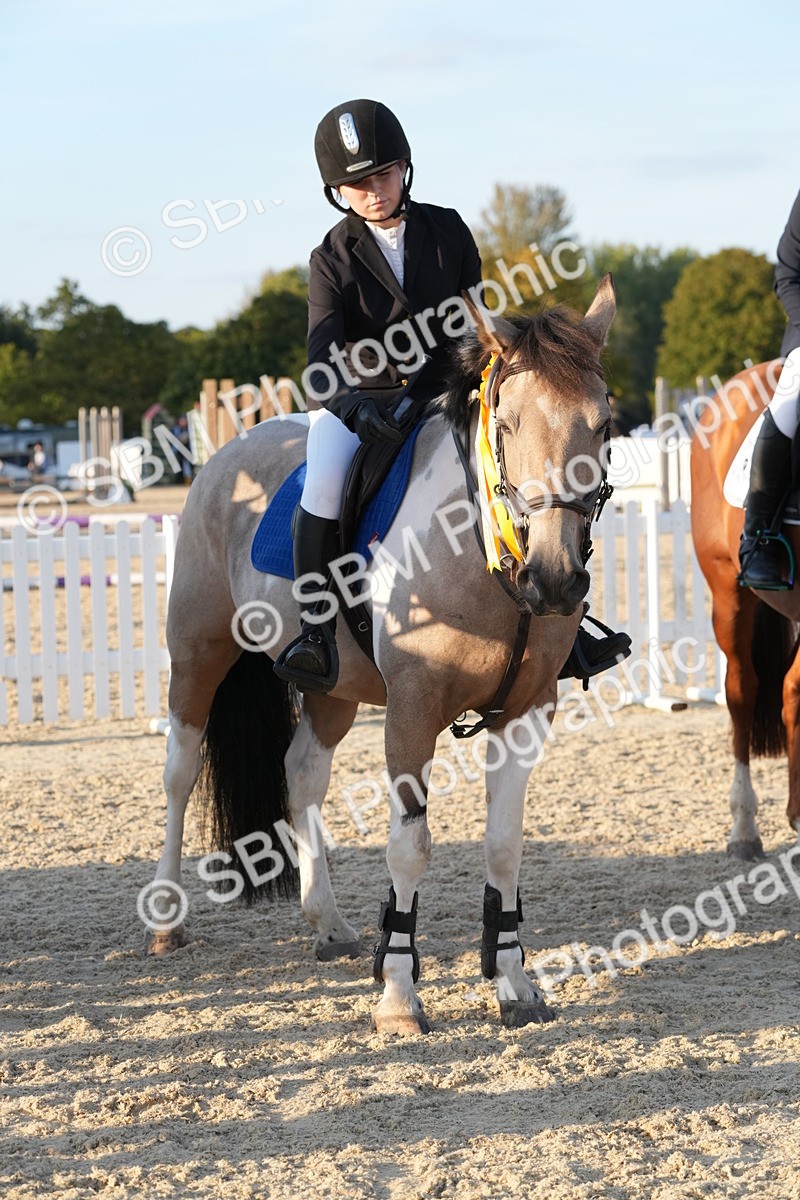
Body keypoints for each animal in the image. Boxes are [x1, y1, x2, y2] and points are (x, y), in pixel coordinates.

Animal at [146, 277, 618, 1034]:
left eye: (603, 425)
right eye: (507, 425)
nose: (552, 579)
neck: (482, 553)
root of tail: (233, 445)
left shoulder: (525, 713)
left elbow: (505, 846)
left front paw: (514, 982)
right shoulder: (411, 712)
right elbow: (410, 847)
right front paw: (398, 993)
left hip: (333, 690)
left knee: (303, 772)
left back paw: (328, 923)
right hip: (198, 653)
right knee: (179, 772)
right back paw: (165, 919)